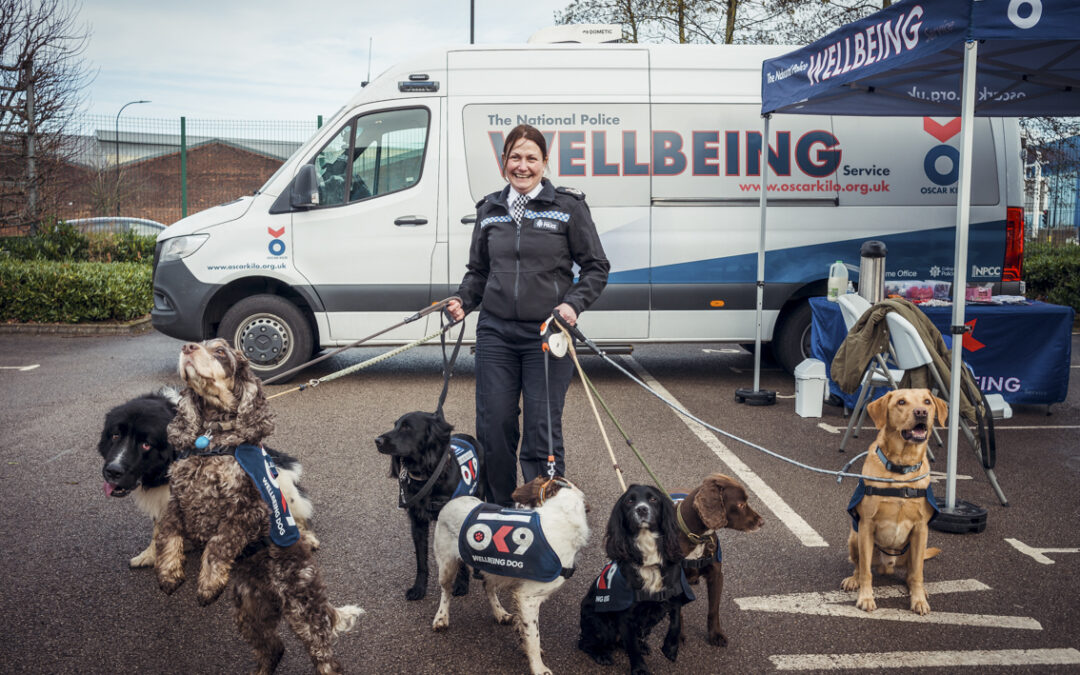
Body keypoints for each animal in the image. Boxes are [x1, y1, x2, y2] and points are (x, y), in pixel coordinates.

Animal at [156, 339, 360, 669]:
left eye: (220, 351)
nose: (187, 347)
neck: (210, 439)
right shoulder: (178, 500)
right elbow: (167, 533)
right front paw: (169, 574)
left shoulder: (249, 511)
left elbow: (218, 543)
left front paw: (208, 585)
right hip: (250, 614)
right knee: (274, 648)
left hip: (303, 609)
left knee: (326, 658)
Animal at [378, 408, 483, 596]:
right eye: (396, 425)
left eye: (406, 427)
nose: (377, 441)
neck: (429, 477)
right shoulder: (418, 523)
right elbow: (421, 559)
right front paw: (419, 588)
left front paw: (462, 584)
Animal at [578, 483, 695, 669]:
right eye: (629, 501)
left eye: (653, 499)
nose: (641, 509)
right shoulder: (626, 616)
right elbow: (632, 647)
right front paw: (640, 669)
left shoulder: (674, 594)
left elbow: (676, 622)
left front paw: (670, 648)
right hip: (601, 625)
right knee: (584, 642)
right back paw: (601, 654)